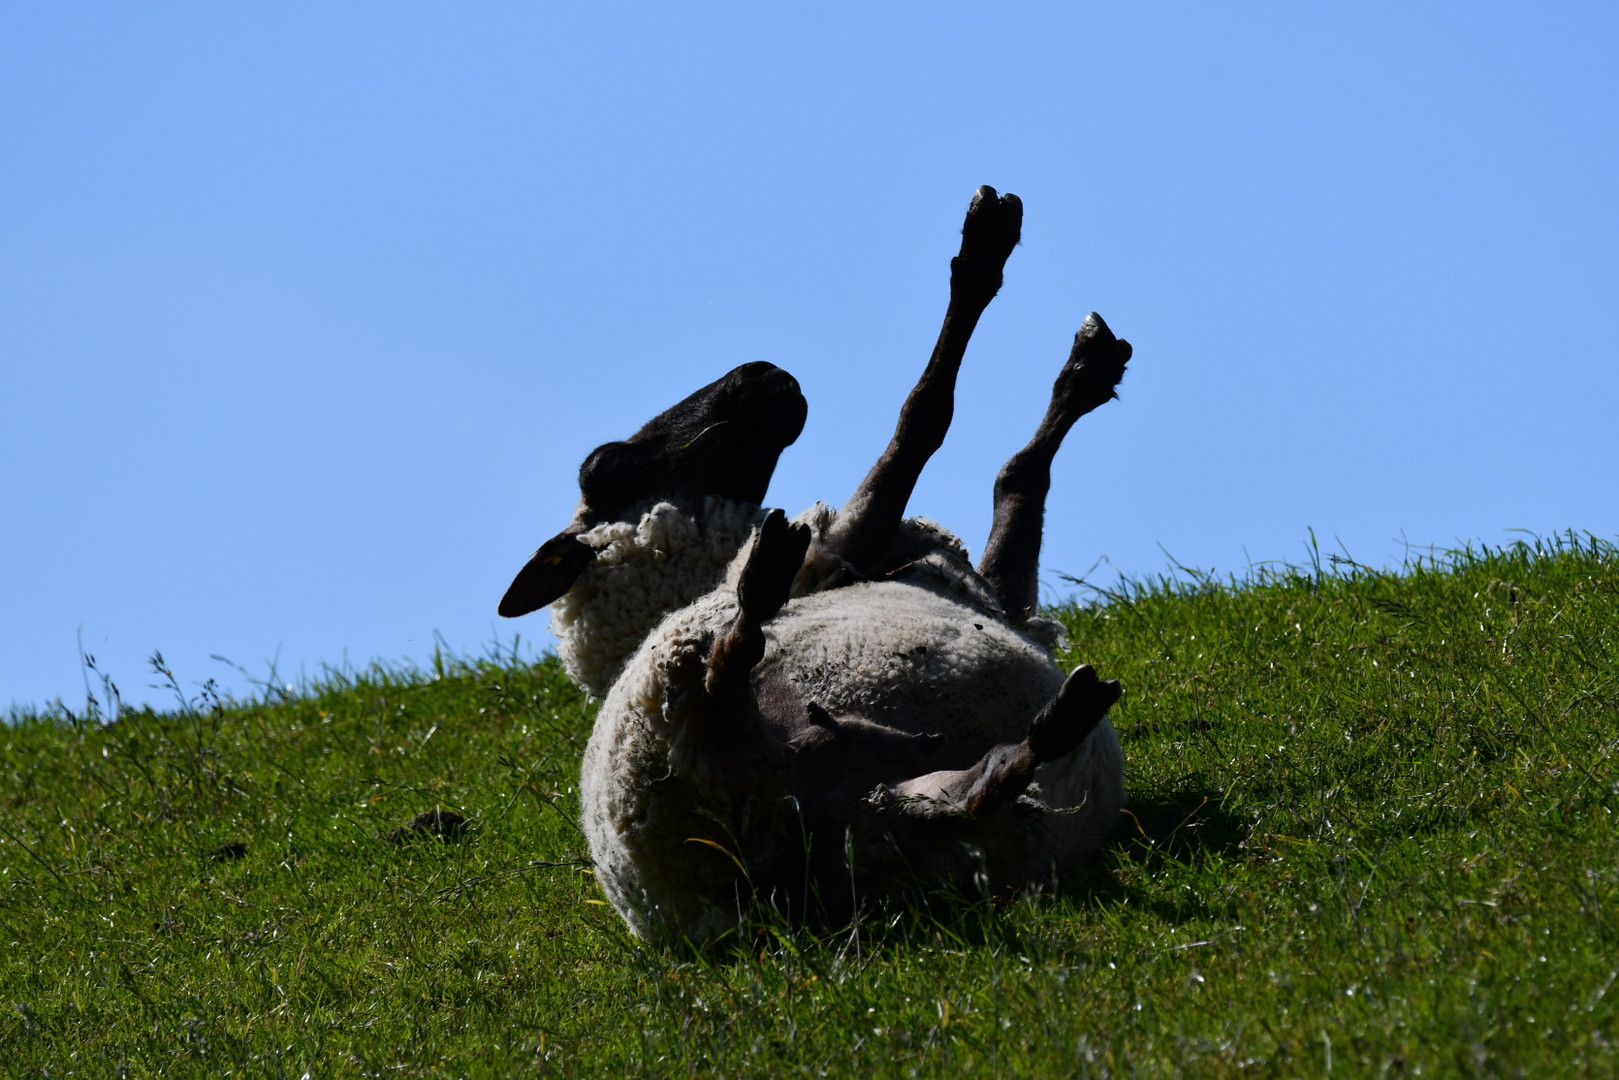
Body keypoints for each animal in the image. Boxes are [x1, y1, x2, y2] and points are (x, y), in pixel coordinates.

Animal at [498, 186, 1133, 939]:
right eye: (606, 465)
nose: (761, 372)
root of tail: (780, 882)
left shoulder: (987, 595)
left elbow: (1014, 484)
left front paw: (1086, 369)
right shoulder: (852, 548)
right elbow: (933, 425)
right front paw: (983, 254)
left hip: (899, 804)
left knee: (972, 792)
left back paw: (1058, 720)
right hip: (695, 726)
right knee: (725, 672)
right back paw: (761, 584)